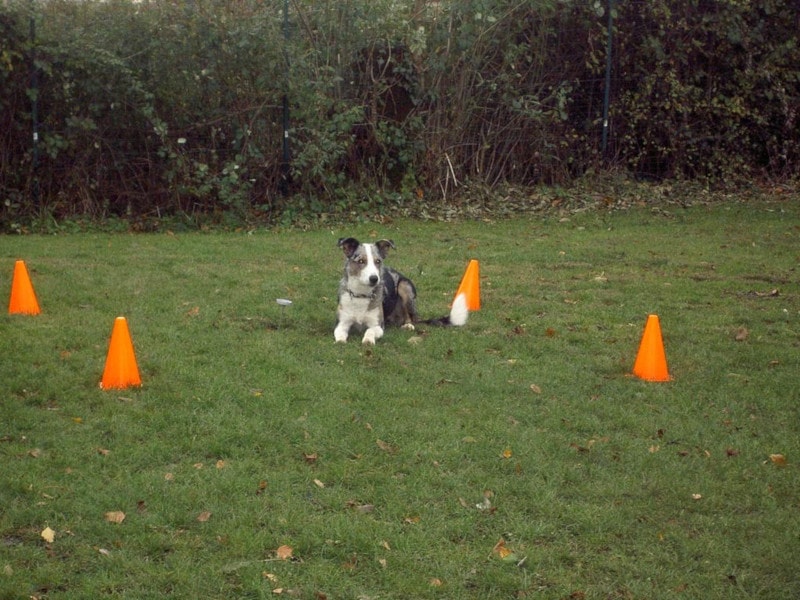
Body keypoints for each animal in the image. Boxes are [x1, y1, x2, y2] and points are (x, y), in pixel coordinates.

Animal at [332, 237, 468, 344]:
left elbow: (370, 330)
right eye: (361, 261)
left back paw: (408, 325)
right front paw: (341, 341)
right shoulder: (341, 324)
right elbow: (340, 335)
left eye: (378, 261)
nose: (374, 279)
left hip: (405, 287)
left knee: (410, 318)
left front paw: (368, 340)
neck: (361, 294)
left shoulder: (378, 326)